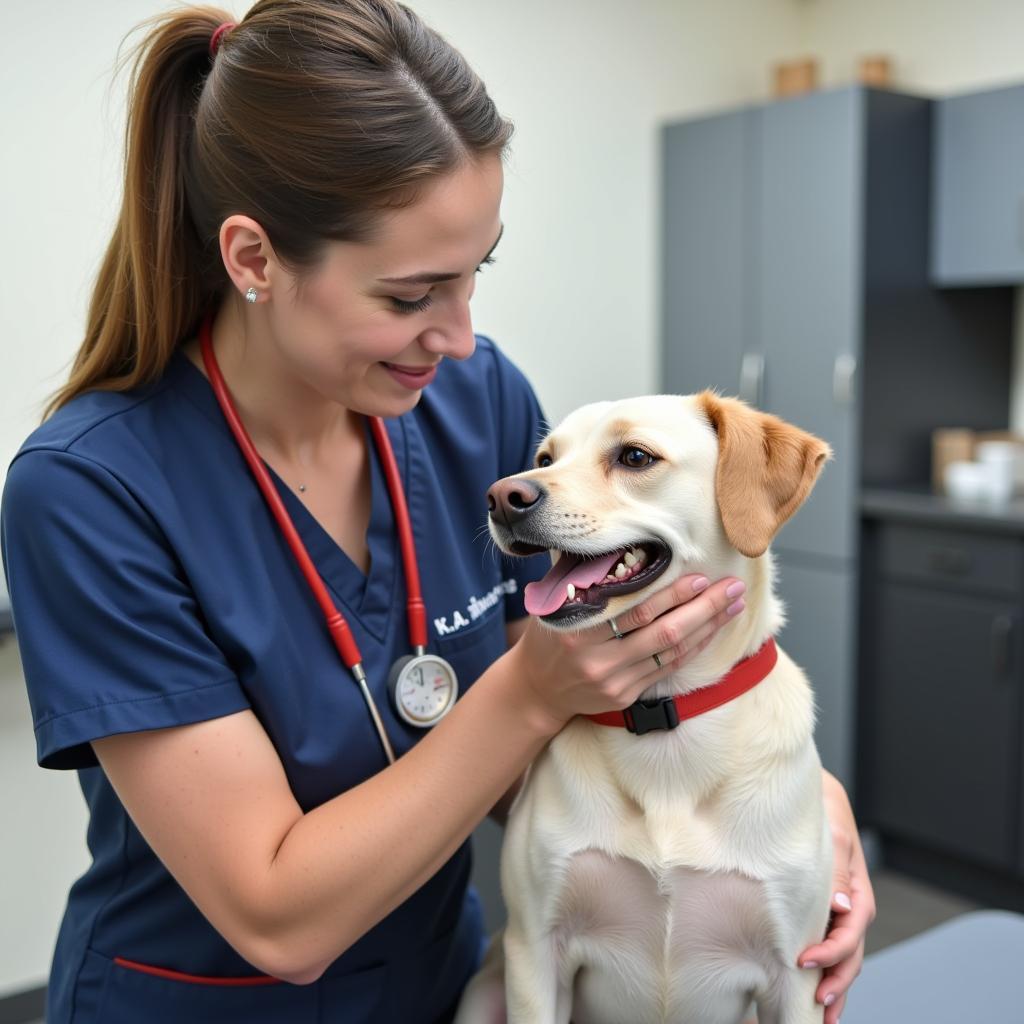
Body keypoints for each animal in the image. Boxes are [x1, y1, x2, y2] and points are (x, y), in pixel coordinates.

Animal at [460, 391, 835, 1024]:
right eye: (545, 458)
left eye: (635, 456)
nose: (502, 496)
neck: (665, 715)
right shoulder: (533, 952)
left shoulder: (797, 975)